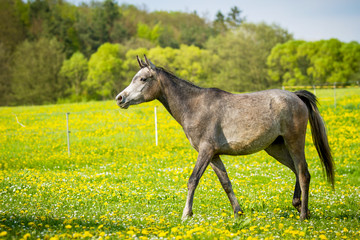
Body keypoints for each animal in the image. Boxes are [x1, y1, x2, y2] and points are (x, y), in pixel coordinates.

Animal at [116, 55, 334, 220]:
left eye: (143, 79)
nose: (120, 98)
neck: (195, 106)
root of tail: (296, 96)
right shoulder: (213, 155)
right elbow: (226, 183)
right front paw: (238, 213)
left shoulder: (206, 151)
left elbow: (193, 180)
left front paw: (186, 214)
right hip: (276, 148)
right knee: (297, 170)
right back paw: (299, 205)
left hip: (293, 142)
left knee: (303, 173)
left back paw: (303, 215)